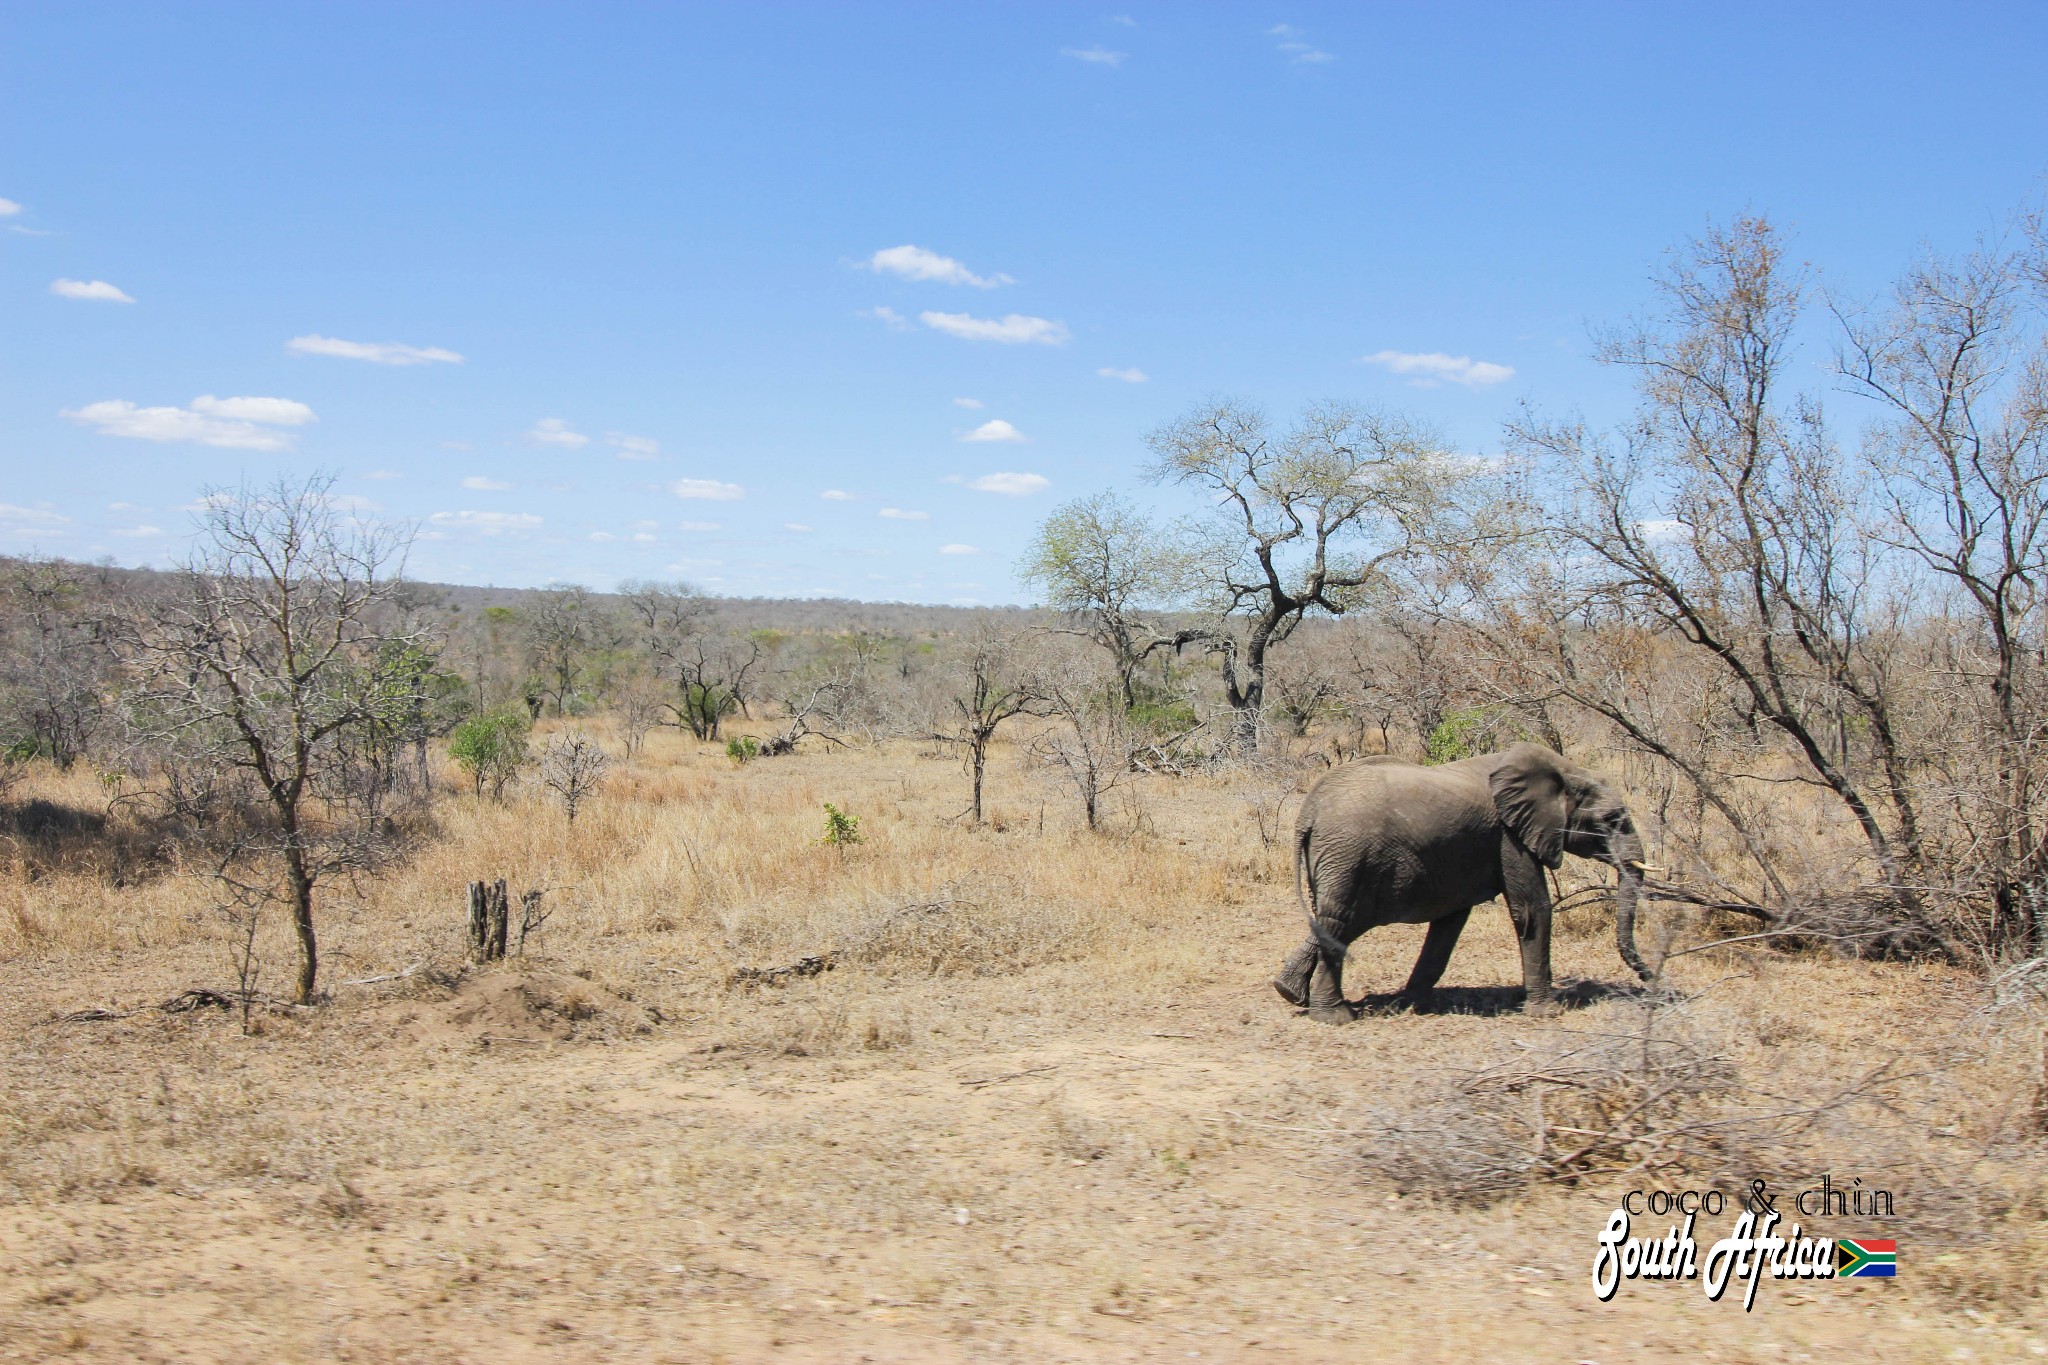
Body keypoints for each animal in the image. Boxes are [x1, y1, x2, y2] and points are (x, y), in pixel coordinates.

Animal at [1269, 740, 1654, 1019]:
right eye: (1612, 820)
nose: (1650, 978)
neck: (1566, 771)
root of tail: (1309, 811)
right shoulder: (1510, 835)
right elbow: (1532, 909)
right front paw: (1547, 1013)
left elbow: (1449, 922)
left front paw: (1409, 1004)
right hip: (1348, 854)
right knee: (1340, 919)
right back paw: (1334, 1017)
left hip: (1341, 858)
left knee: (1336, 919)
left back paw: (1289, 992)